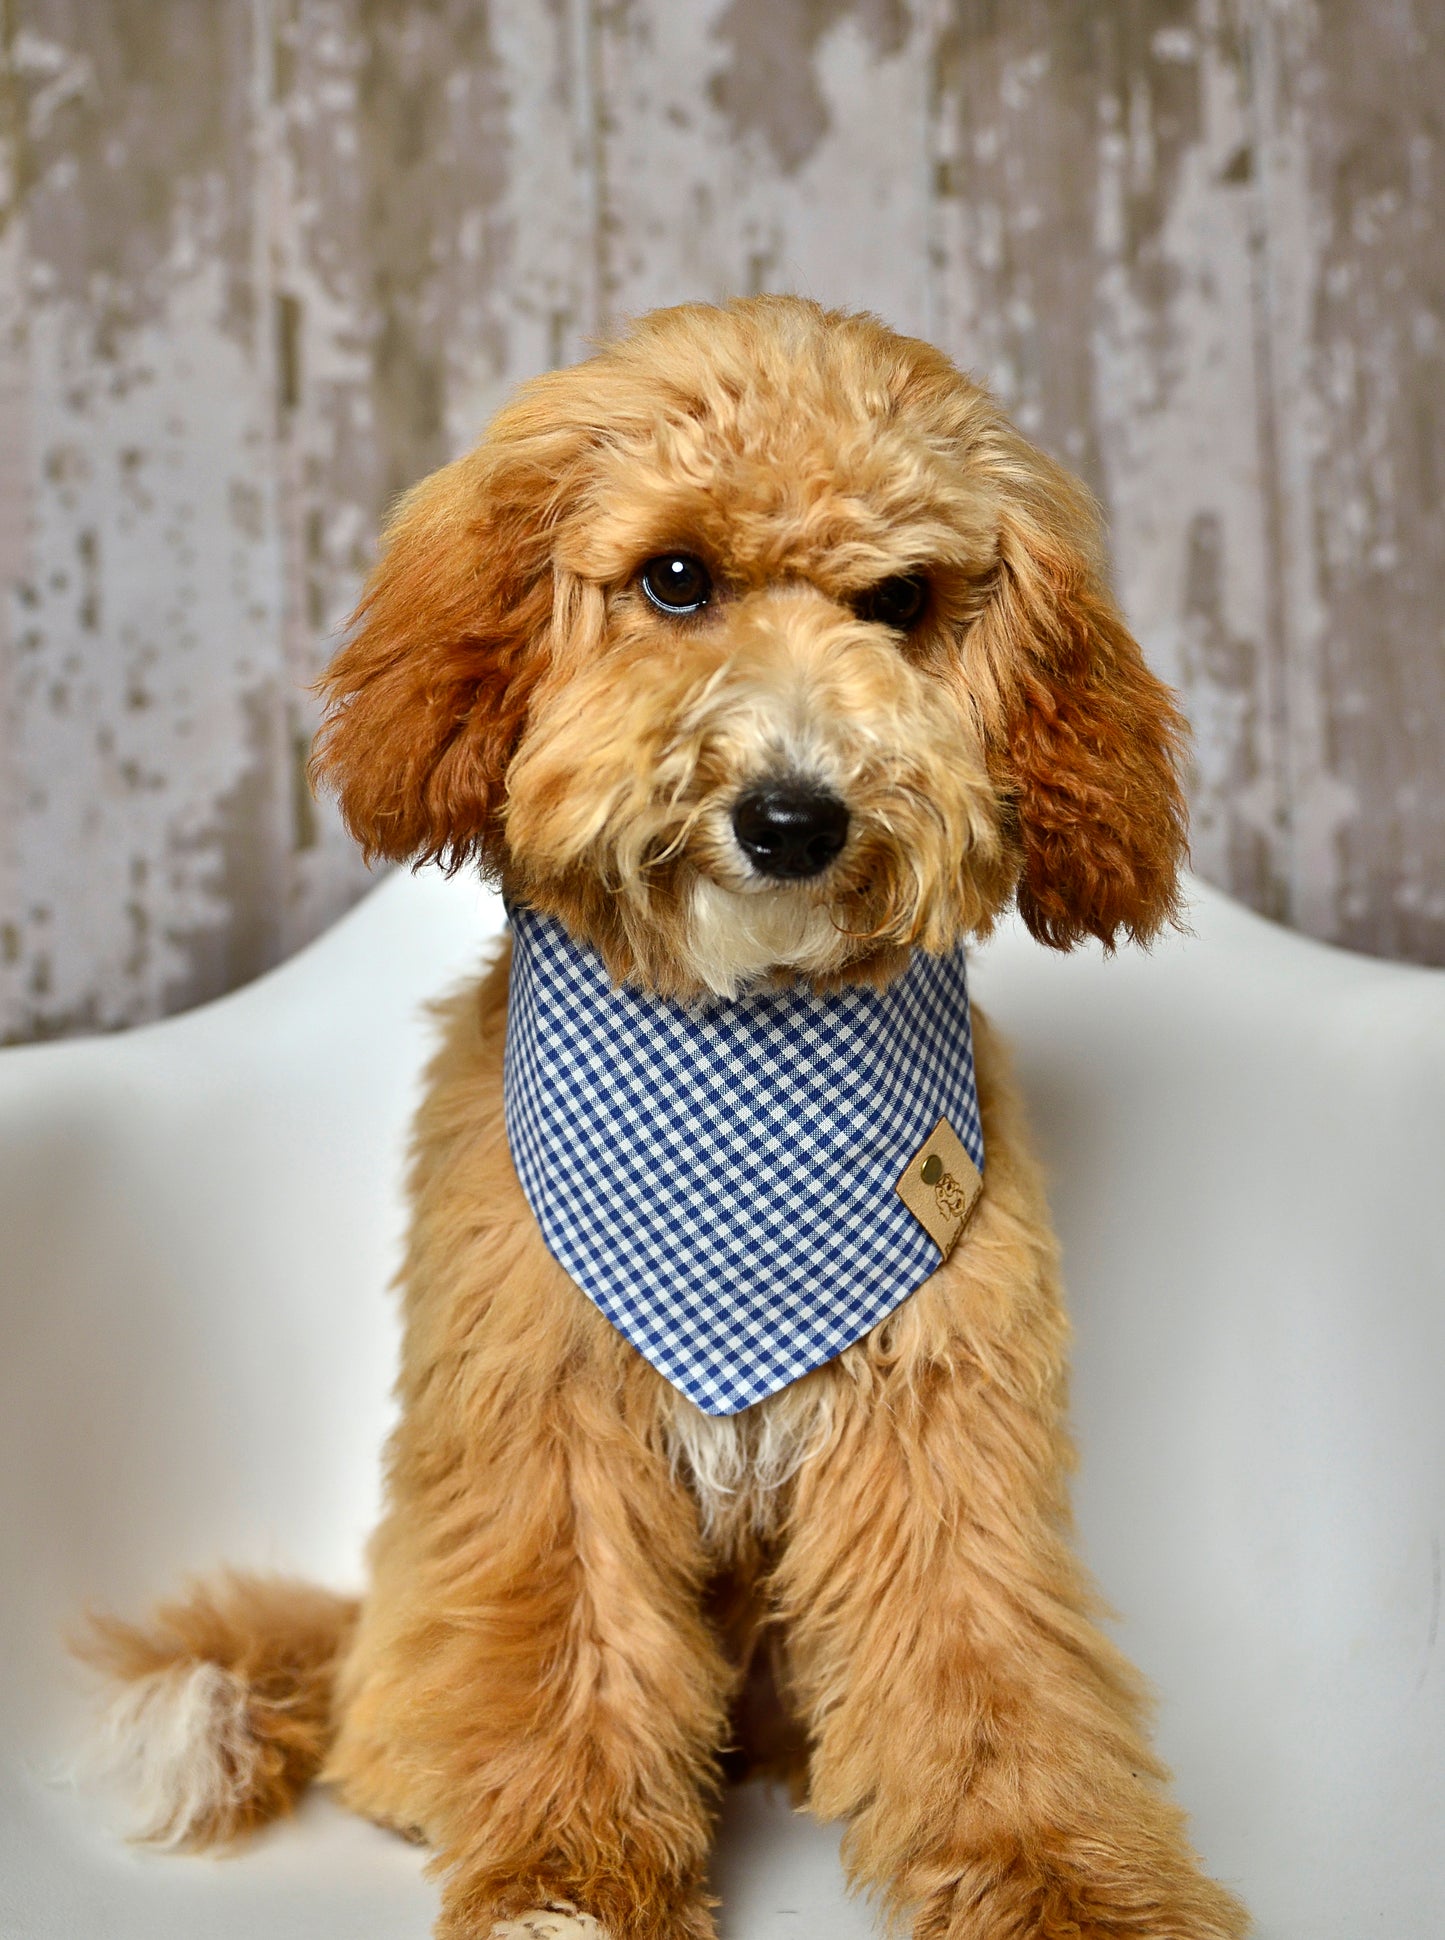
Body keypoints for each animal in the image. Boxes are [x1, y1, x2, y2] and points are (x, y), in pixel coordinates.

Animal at [79, 291, 1249, 1940]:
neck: (738, 1055)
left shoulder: (944, 1415)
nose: (793, 817)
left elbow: (986, 1668)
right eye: (676, 580)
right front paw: (564, 1881)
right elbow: (571, 1651)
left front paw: (1068, 1886)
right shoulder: (550, 1409)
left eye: (898, 602)